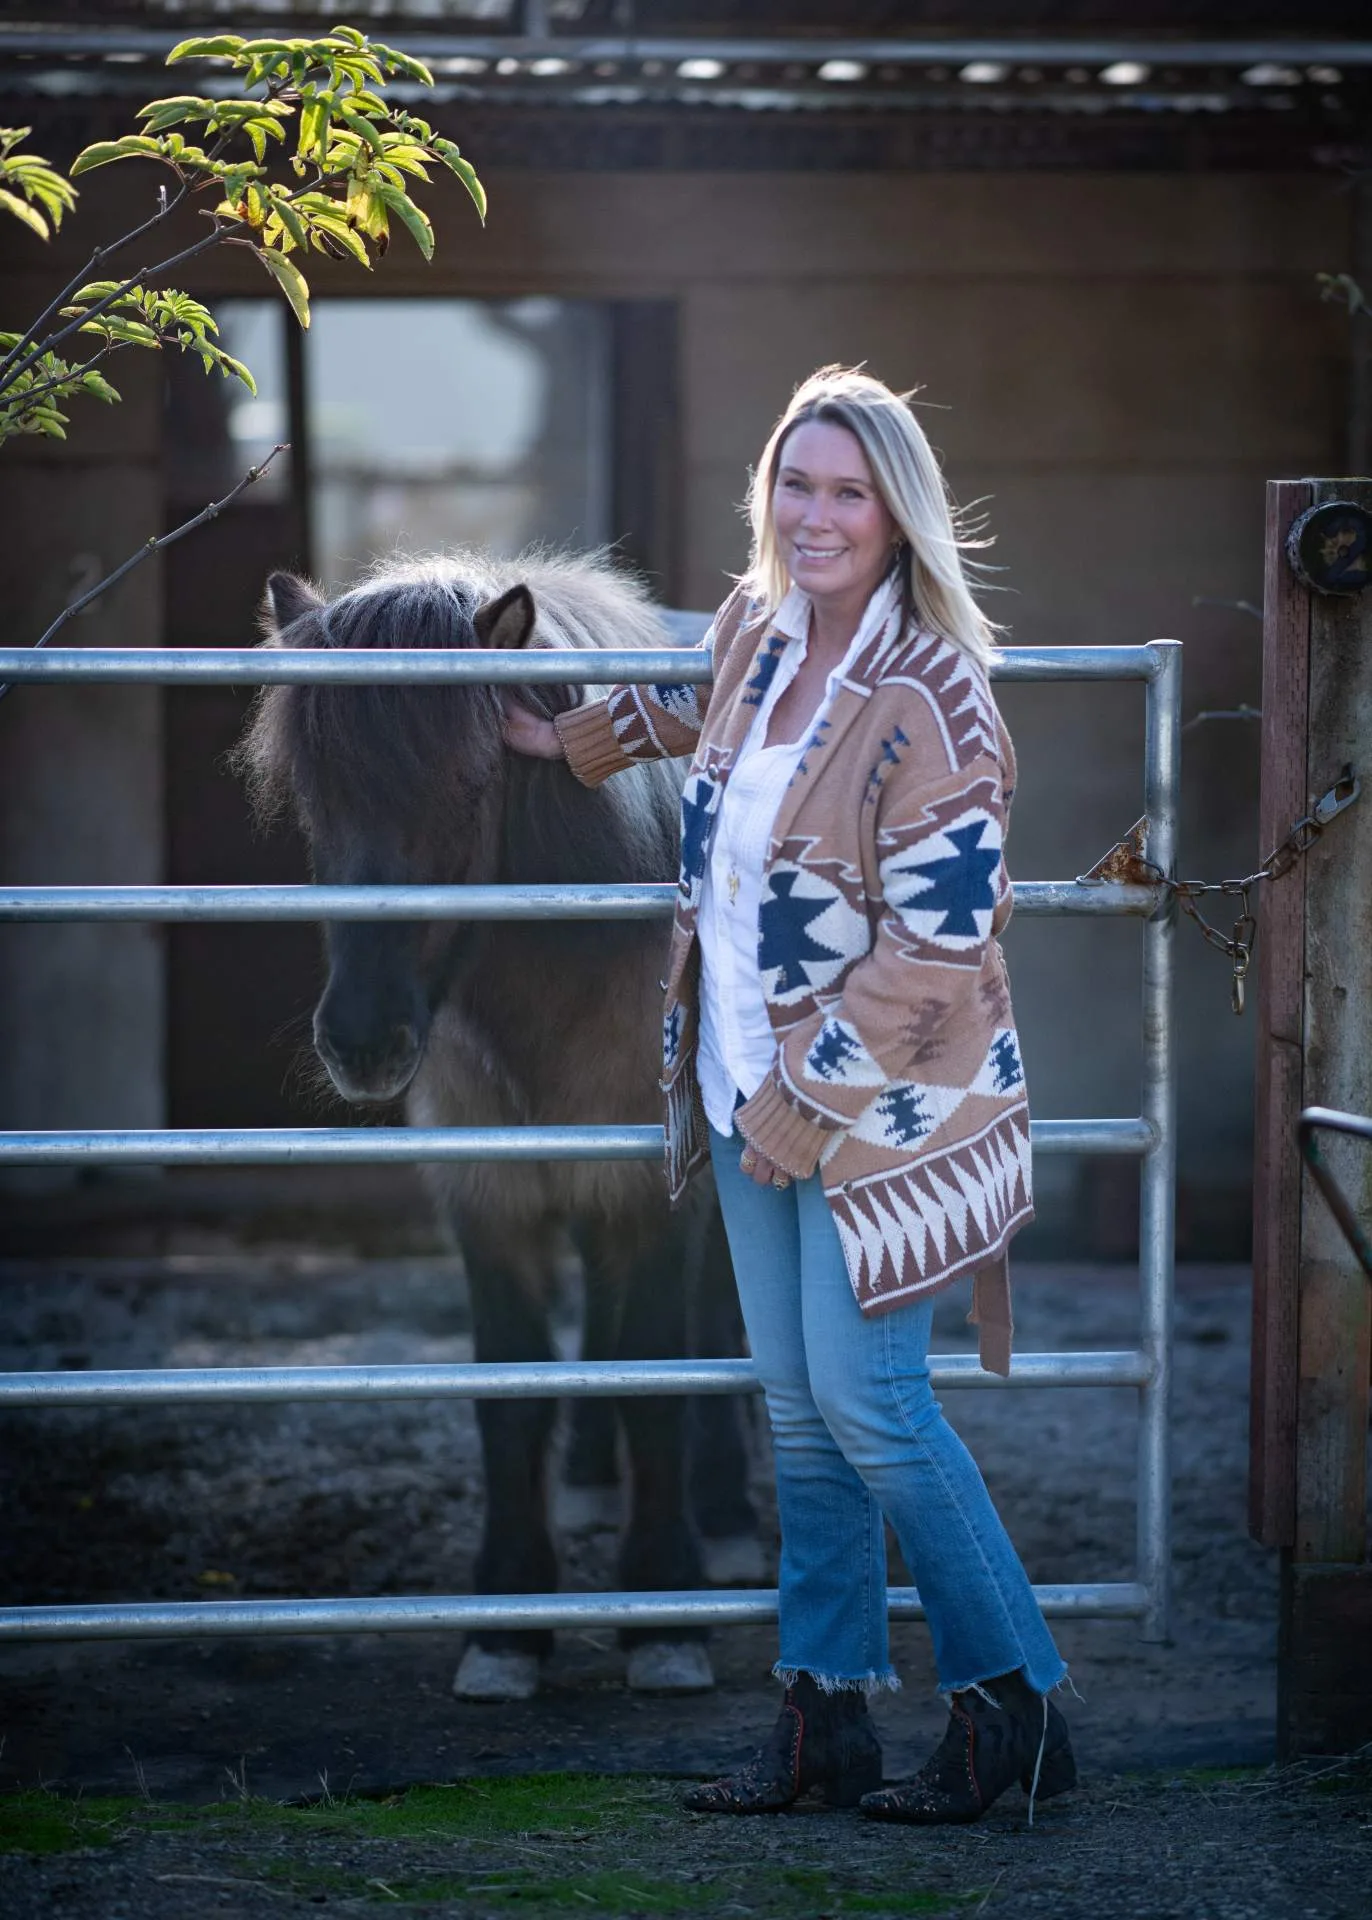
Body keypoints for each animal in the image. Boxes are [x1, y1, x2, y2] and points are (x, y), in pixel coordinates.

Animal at [235, 549, 759, 1702]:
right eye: (316, 805)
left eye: (471, 788)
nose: (363, 1041)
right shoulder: (491, 1199)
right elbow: (511, 1391)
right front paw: (510, 1615)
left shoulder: (650, 1194)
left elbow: (657, 1373)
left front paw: (663, 1605)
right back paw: (594, 1477)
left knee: (715, 1321)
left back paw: (724, 1508)